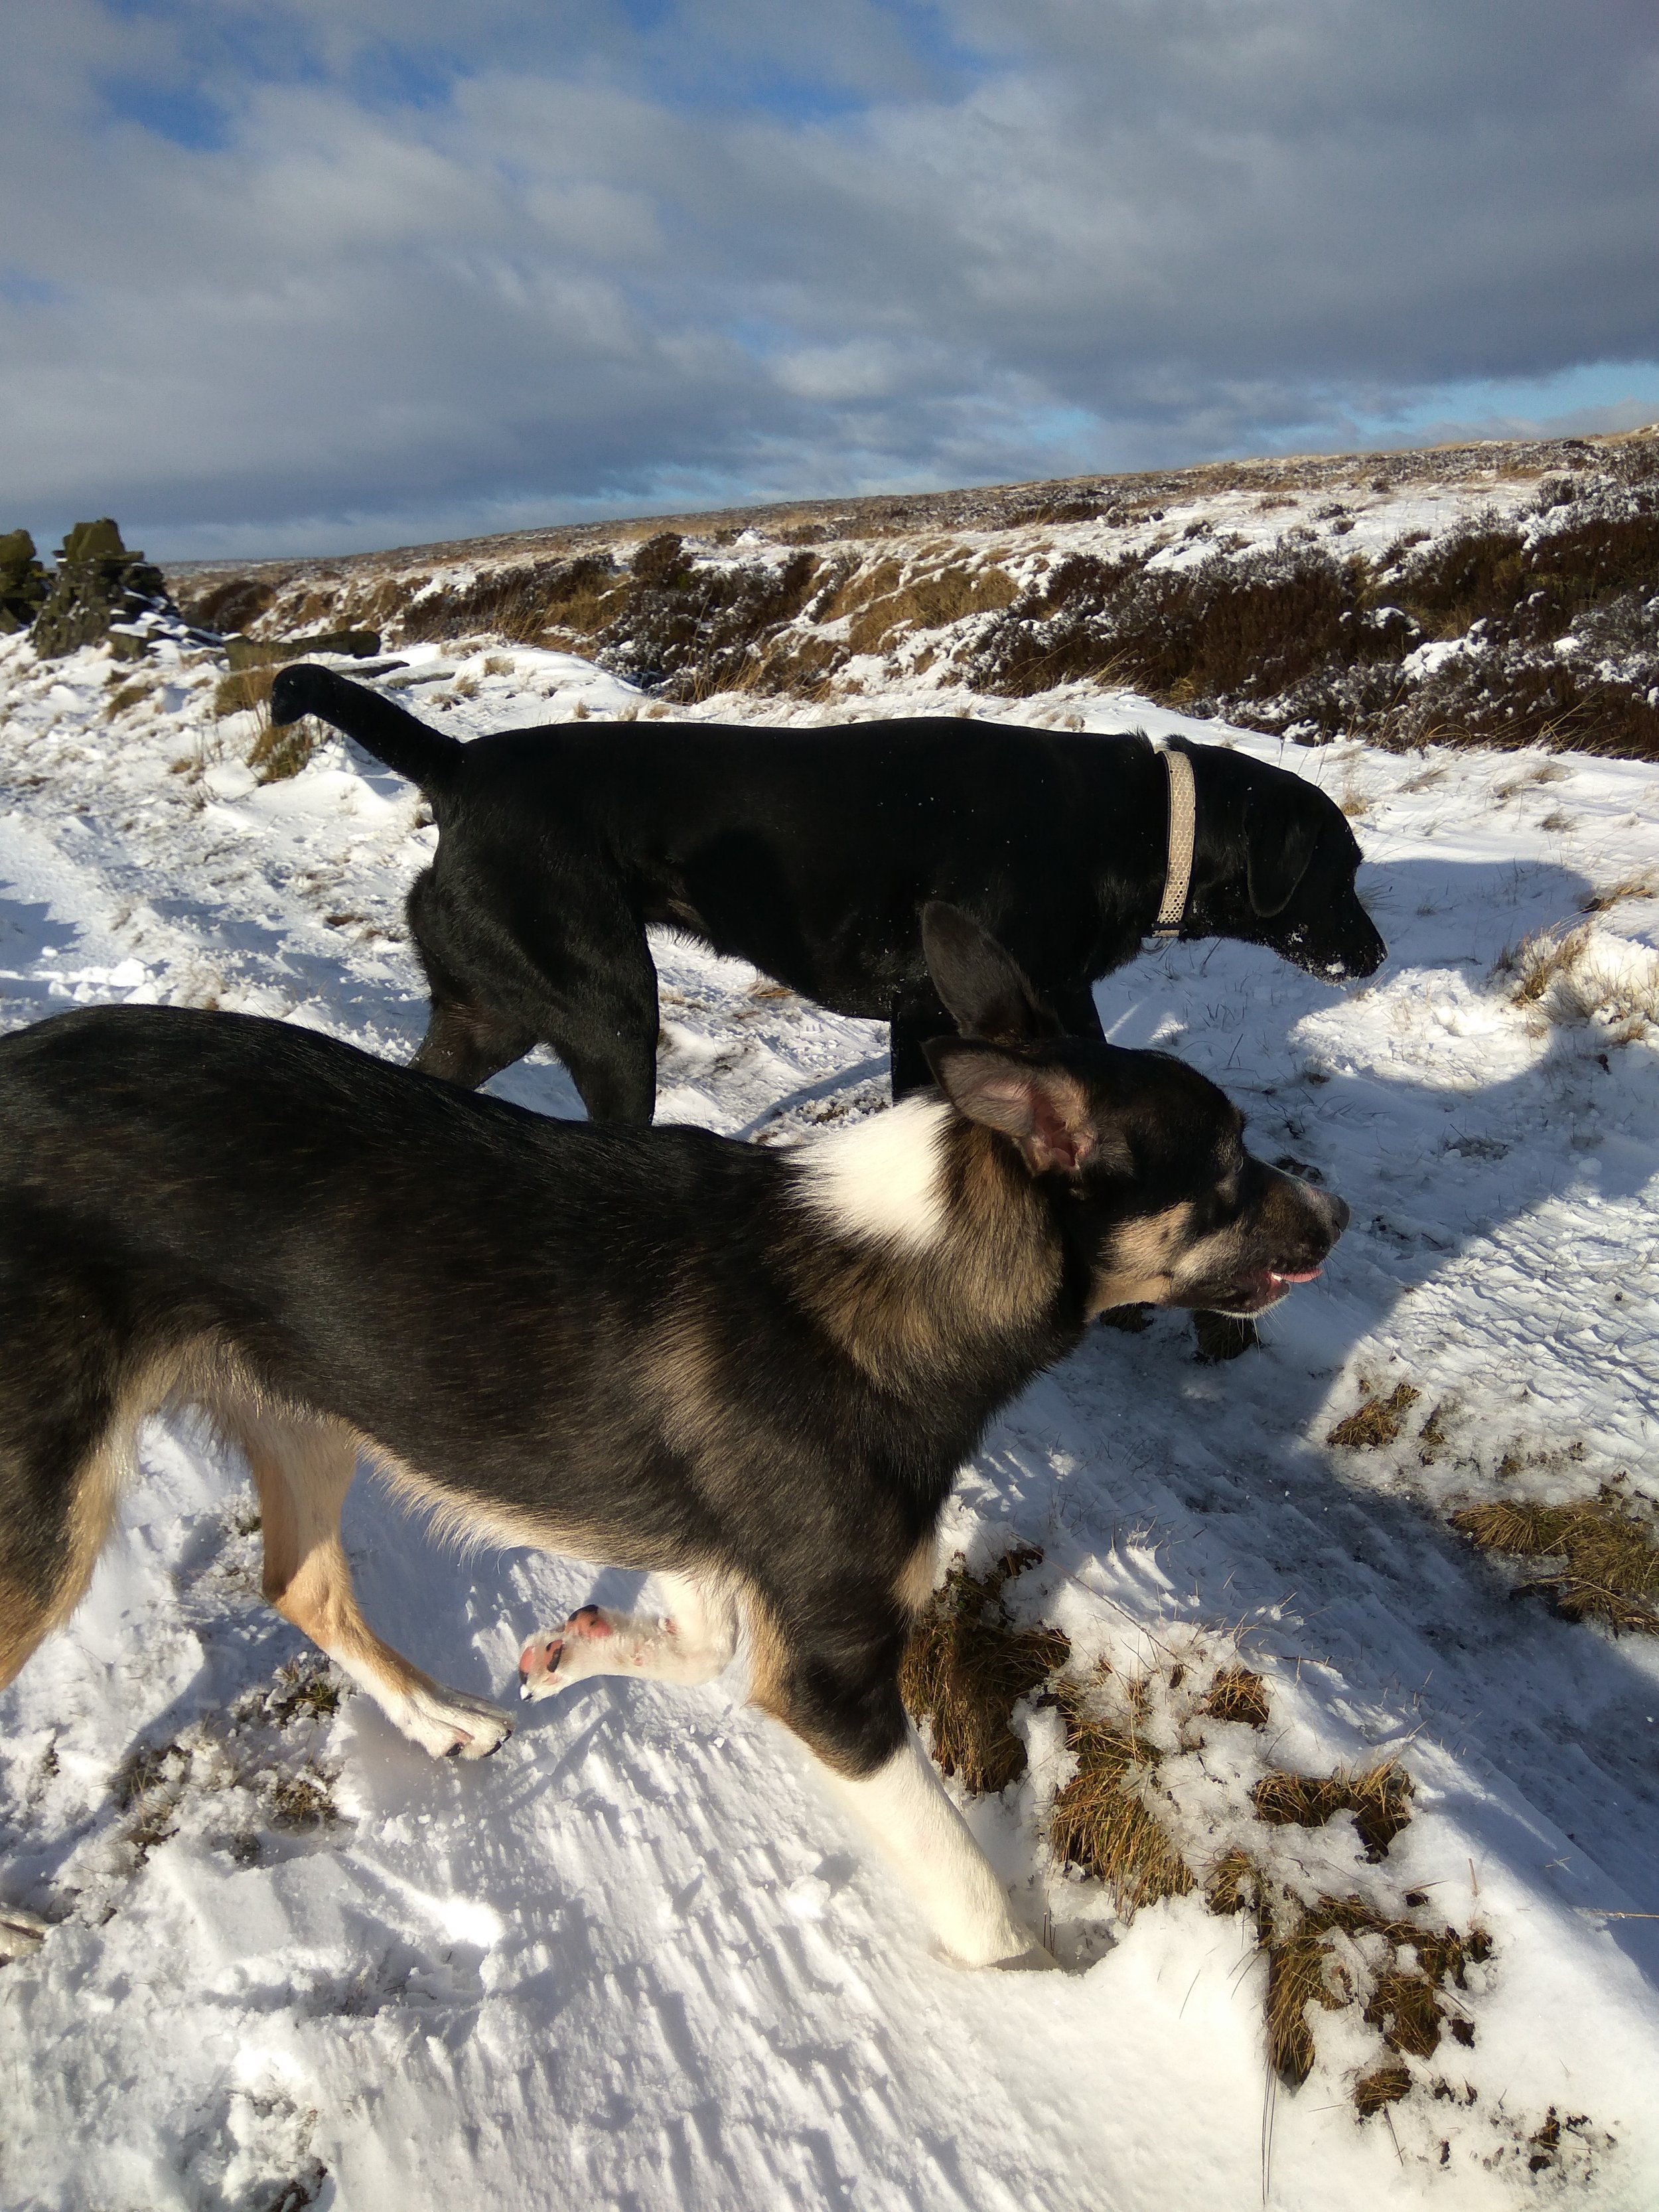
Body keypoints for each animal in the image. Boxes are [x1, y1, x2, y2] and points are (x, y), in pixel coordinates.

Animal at [0, 907, 1354, 1964]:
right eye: (1229, 1164)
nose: (1336, 1217)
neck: (917, 1265)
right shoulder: (833, 1681)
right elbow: (981, 1910)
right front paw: (1048, 1997)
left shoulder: (709, 1547)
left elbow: (697, 1649)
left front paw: (582, 1647)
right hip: (49, 1520)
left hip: (309, 1406)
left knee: (300, 1583)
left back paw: (443, 1718)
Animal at [276, 659, 1389, 1124]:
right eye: (1342, 874)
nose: (1378, 955)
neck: (1140, 824)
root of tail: (459, 765)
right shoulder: (976, 1009)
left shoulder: (978, 1009)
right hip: (608, 1012)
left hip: (490, 1013)